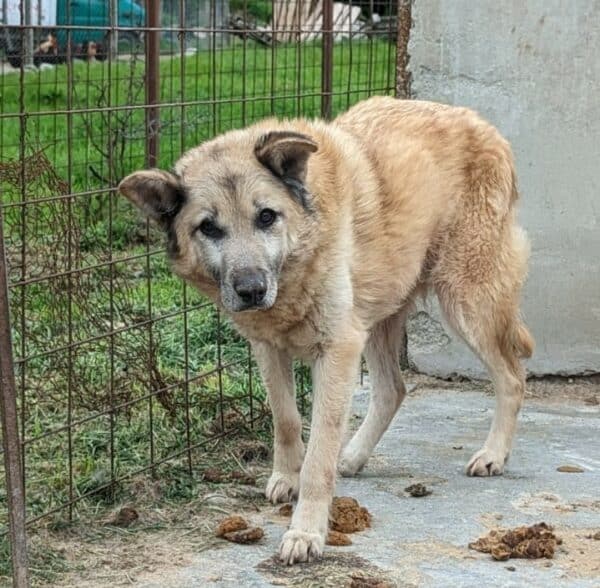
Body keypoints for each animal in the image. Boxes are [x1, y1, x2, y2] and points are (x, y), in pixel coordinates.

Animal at [119, 96, 532, 564]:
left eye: (266, 217)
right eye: (208, 227)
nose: (251, 290)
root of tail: (477, 121)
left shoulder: (337, 349)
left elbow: (319, 448)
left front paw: (307, 530)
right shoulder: (269, 348)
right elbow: (285, 419)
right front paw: (286, 476)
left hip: (466, 302)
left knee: (511, 377)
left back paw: (493, 455)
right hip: (377, 319)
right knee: (393, 389)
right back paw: (352, 456)